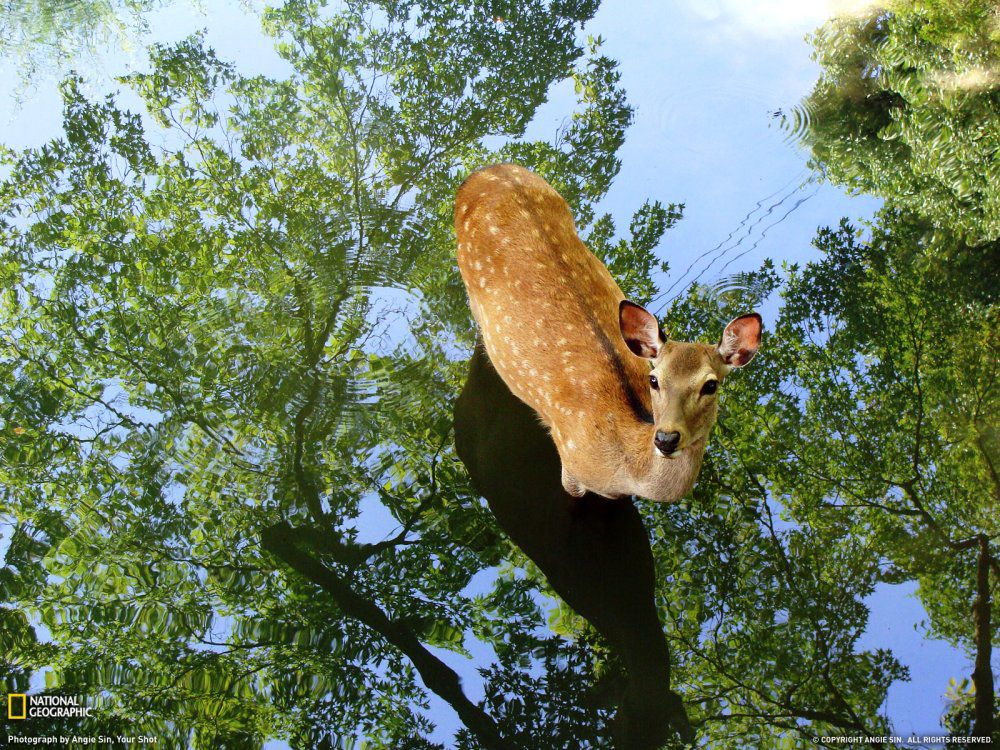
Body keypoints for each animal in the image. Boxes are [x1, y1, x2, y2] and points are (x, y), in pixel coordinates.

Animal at [455, 163, 761, 502]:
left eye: (710, 385)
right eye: (654, 379)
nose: (666, 438)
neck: (624, 471)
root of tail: (484, 171)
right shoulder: (571, 467)